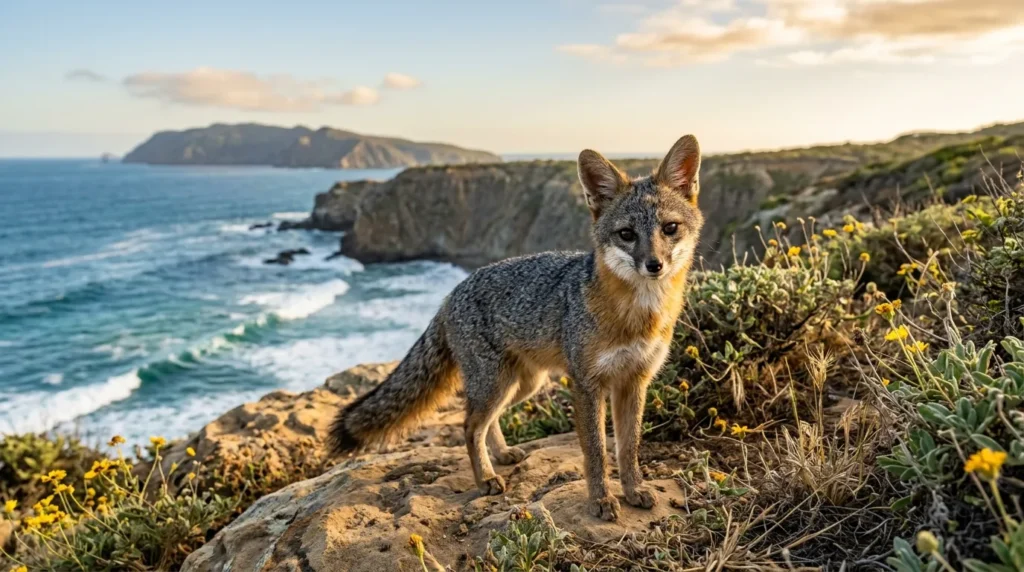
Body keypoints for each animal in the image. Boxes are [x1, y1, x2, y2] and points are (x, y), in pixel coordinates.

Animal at [329, 135, 704, 521]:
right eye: (627, 234)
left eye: (670, 228)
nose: (654, 265)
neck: (638, 316)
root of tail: (451, 294)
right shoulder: (588, 385)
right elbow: (597, 452)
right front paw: (600, 500)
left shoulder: (634, 382)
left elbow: (628, 448)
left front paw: (634, 489)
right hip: (497, 384)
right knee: (469, 426)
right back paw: (485, 478)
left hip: (521, 385)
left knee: (487, 421)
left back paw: (501, 455)